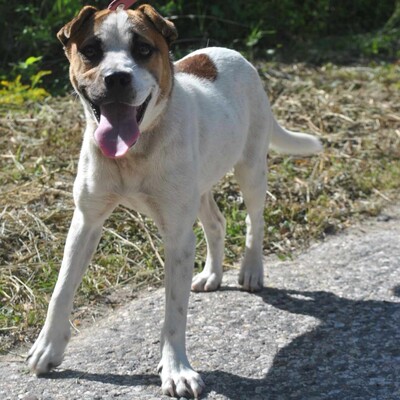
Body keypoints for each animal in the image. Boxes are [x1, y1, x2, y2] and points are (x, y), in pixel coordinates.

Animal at [27, 3, 322, 400]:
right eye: (91, 50)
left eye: (143, 49)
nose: (116, 79)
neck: (136, 150)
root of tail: (228, 53)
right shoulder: (86, 221)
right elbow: (61, 289)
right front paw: (47, 348)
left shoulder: (177, 237)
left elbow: (174, 312)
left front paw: (176, 369)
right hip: (199, 186)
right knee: (216, 223)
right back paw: (212, 274)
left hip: (250, 169)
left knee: (254, 220)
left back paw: (250, 270)